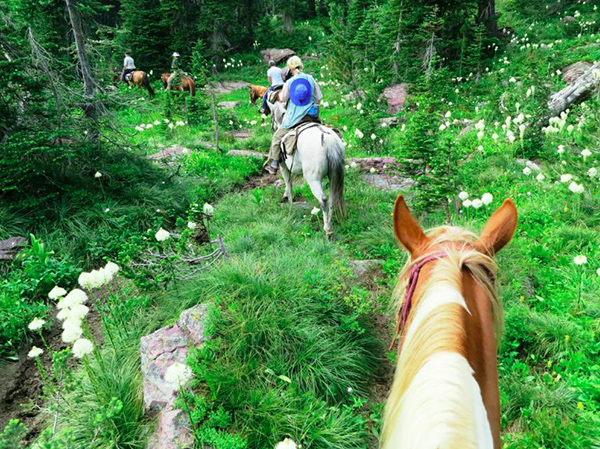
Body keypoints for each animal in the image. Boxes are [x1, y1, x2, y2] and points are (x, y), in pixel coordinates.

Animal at [268, 99, 346, 236]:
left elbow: (289, 184)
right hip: (333, 175)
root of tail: (328, 138)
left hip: (313, 179)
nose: (272, 127)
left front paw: (290, 204)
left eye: (272, 115)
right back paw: (330, 221)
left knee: (323, 199)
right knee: (332, 197)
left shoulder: (284, 167)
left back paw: (327, 229)